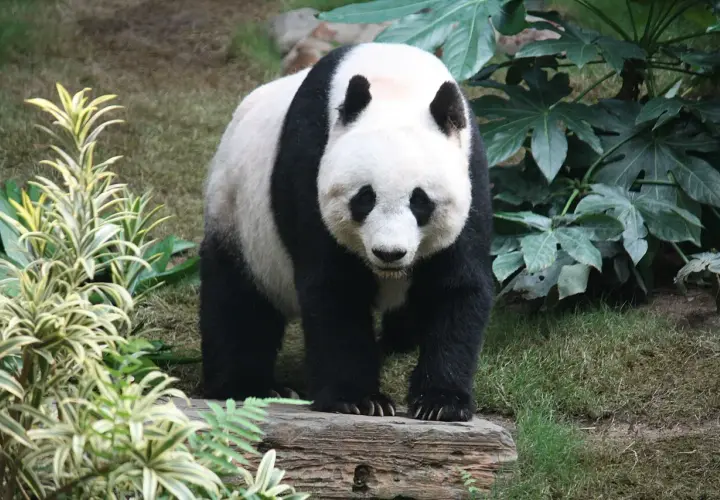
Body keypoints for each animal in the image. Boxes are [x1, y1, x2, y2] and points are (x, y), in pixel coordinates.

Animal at [200, 42, 493, 422]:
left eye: (420, 201)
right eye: (364, 198)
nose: (389, 253)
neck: (396, 83)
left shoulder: (472, 172)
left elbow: (455, 286)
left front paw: (441, 402)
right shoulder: (309, 162)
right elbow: (335, 288)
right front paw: (359, 400)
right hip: (238, 215)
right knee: (238, 302)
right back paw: (250, 385)